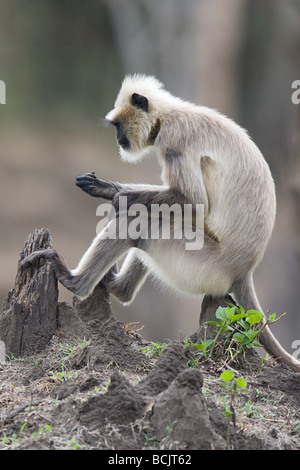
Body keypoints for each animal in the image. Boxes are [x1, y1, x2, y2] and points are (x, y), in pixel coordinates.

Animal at [22, 73, 300, 370]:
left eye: (118, 126)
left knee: (139, 220)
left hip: (200, 264)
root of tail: (244, 271)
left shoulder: (174, 139)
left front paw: (118, 196)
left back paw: (75, 280)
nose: (118, 139)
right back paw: (114, 284)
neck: (169, 114)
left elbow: (193, 202)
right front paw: (106, 188)